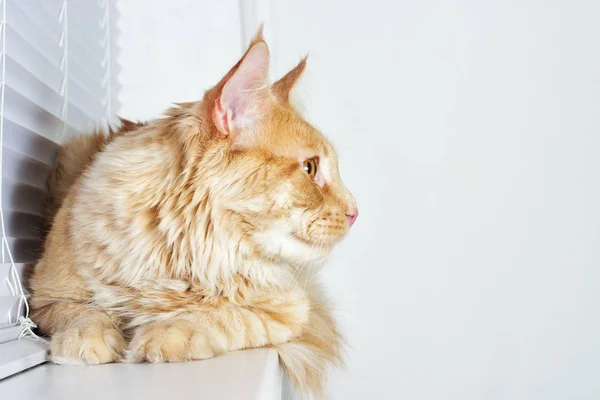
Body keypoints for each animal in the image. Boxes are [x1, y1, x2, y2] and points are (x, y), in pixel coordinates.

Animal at [30, 26, 356, 398]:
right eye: (310, 168)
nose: (355, 212)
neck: (179, 250)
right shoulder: (46, 297)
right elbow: (82, 313)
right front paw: (86, 337)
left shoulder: (290, 311)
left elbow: (223, 315)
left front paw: (171, 331)